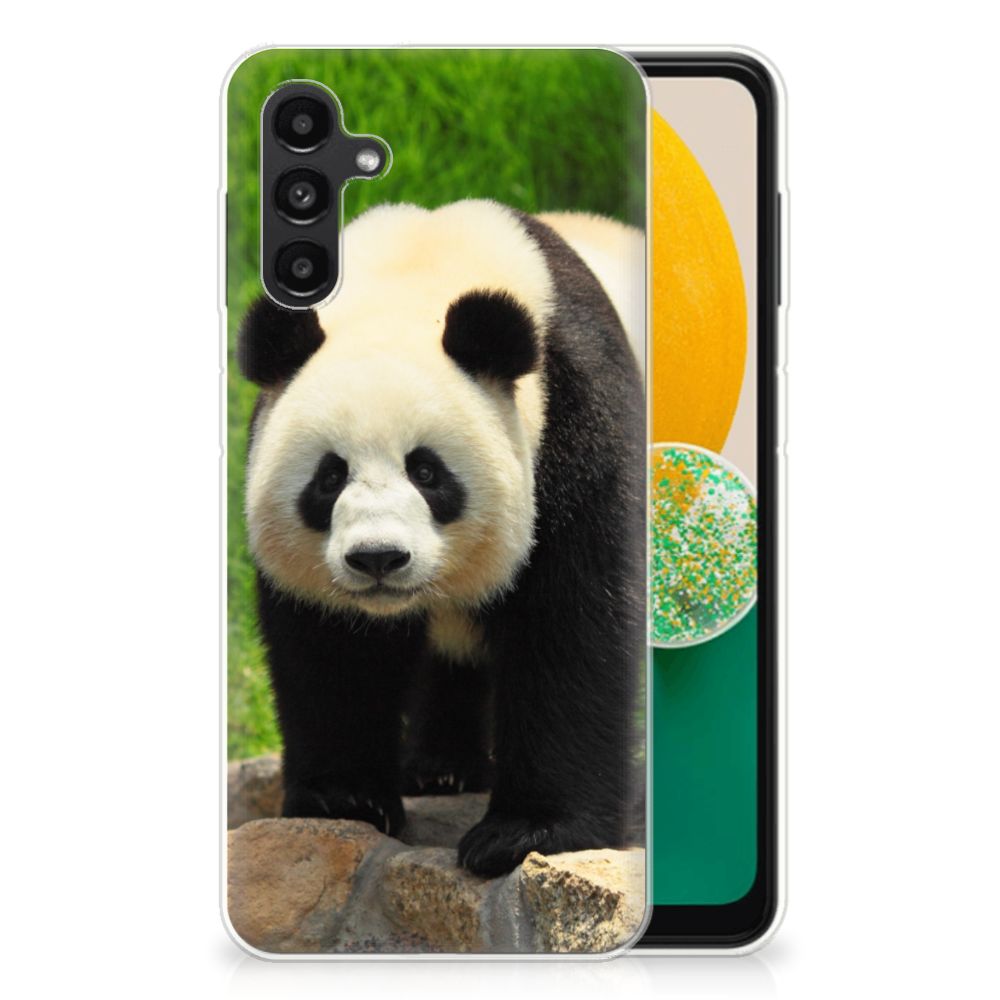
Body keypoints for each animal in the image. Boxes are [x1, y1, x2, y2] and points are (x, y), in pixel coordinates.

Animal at [238, 199, 645, 878]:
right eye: (329, 476)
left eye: (427, 472)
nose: (378, 558)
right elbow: (331, 649)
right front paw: (344, 800)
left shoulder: (577, 421)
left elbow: (571, 625)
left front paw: (525, 833)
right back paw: (441, 769)